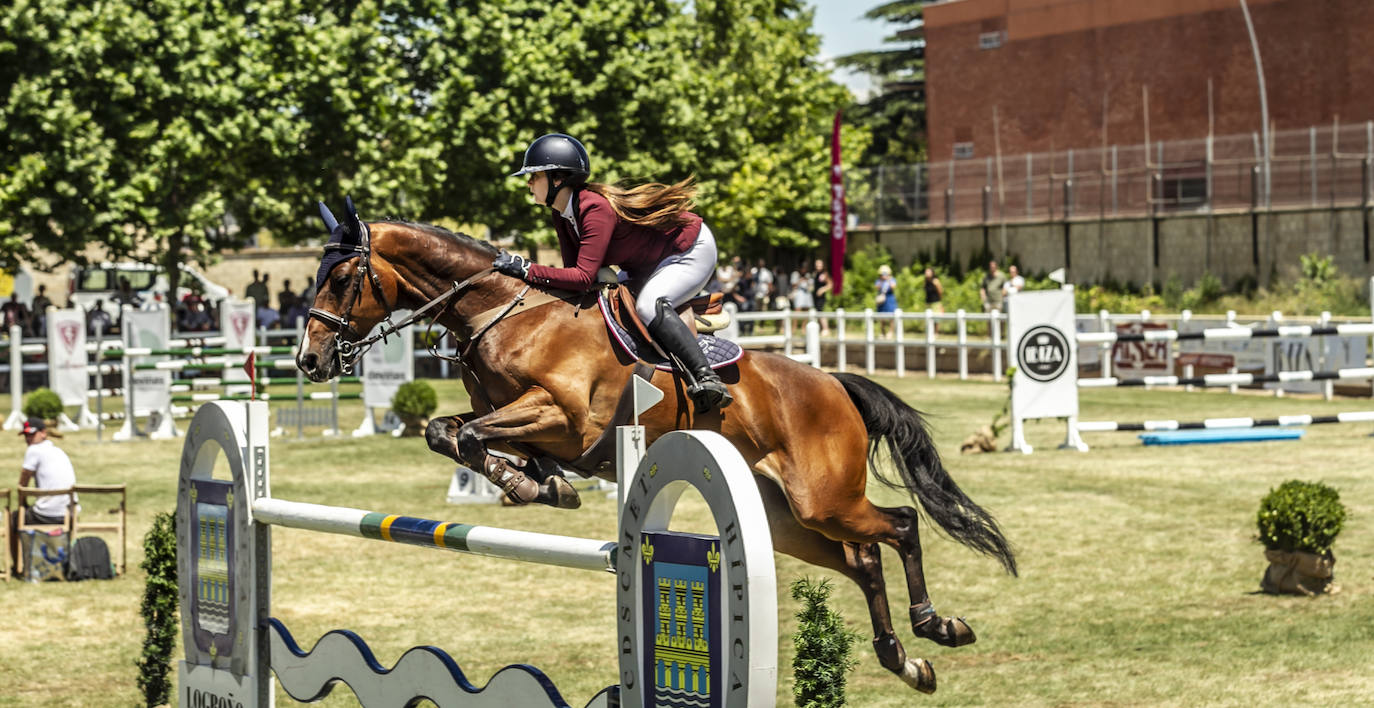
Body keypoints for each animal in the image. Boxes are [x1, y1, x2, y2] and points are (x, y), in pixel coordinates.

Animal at [295, 200, 1016, 698]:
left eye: (341, 279)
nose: (307, 360)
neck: (505, 313)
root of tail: (833, 381)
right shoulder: (504, 411)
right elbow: (447, 432)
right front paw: (536, 482)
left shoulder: (565, 420)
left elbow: (472, 435)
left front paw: (536, 484)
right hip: (787, 518)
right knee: (862, 558)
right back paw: (907, 660)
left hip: (824, 496)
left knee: (902, 525)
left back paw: (936, 626)